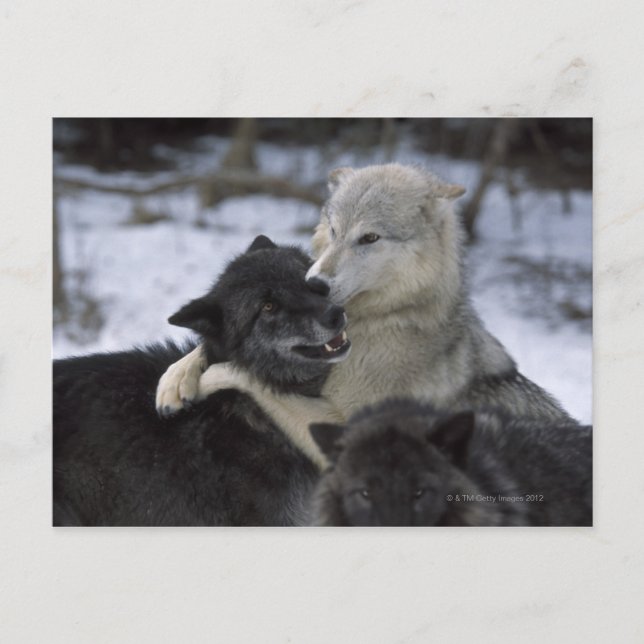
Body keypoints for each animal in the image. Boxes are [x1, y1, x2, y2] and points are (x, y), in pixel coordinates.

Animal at [156, 164, 574, 432]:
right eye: (334, 230)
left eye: (369, 238)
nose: (316, 283)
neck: (385, 318)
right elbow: (203, 349)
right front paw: (174, 381)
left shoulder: (342, 427)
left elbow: (246, 375)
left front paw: (209, 376)